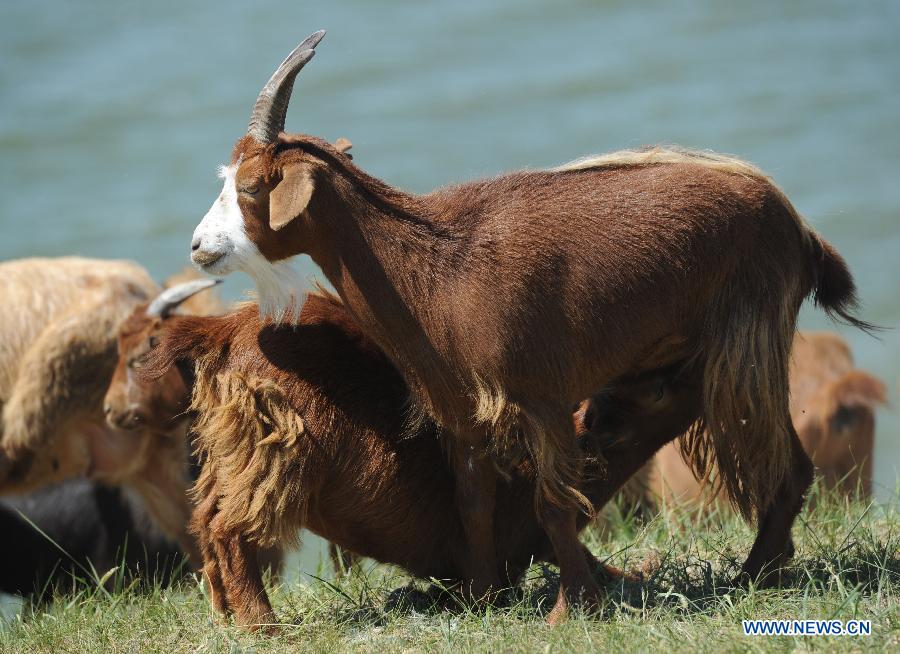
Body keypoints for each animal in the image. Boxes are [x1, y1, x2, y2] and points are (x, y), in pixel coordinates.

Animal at [140, 291, 696, 628]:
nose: (686, 351)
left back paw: (224, 612)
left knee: (204, 517)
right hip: (281, 449)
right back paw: (261, 625)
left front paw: (640, 573)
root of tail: (225, 329)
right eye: (656, 389)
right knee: (229, 528)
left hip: (234, 452)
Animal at [188, 32, 870, 620]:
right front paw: (485, 597)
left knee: (784, 461)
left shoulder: (542, 396)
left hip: (748, 340)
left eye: (253, 187)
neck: (435, 267)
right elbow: (473, 499)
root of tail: (797, 225)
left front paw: (571, 610)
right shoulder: (463, 410)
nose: (199, 247)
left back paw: (756, 574)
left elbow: (553, 506)